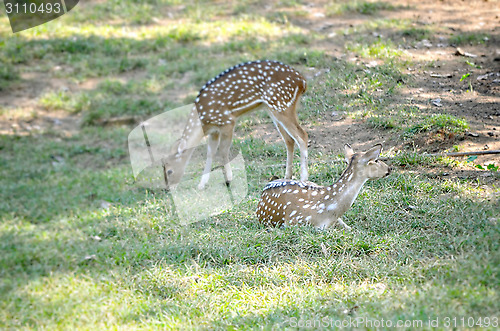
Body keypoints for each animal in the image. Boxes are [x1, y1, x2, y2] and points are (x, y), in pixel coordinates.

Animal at [162, 59, 308, 189]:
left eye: (170, 171)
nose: (168, 188)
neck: (203, 122)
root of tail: (302, 81)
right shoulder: (214, 131)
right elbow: (210, 152)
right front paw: (202, 185)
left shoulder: (227, 121)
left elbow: (223, 150)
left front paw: (228, 180)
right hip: (273, 108)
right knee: (289, 139)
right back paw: (287, 177)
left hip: (282, 104)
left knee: (302, 135)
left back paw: (303, 179)